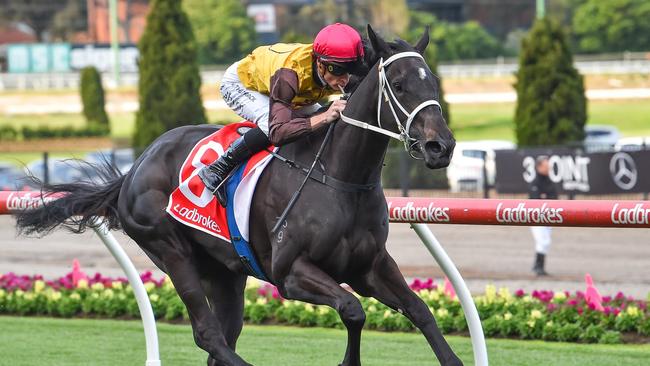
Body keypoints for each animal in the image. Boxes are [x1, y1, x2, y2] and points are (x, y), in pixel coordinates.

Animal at [17, 24, 458, 364]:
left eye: (433, 83)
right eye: (398, 85)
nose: (442, 147)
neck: (338, 178)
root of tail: (134, 170)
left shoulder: (370, 267)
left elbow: (420, 310)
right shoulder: (290, 273)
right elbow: (352, 310)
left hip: (225, 273)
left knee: (222, 337)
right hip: (172, 252)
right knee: (209, 336)